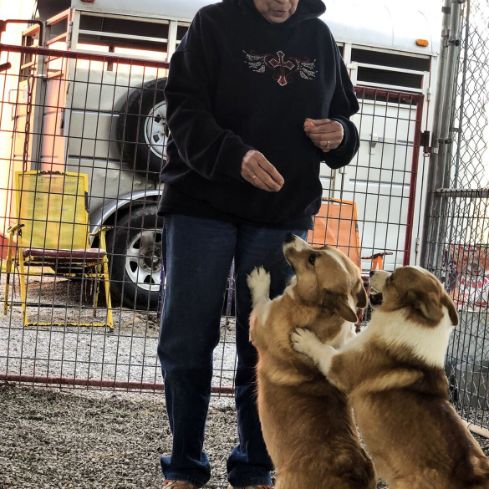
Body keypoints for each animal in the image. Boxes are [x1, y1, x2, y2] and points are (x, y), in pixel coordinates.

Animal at [246, 233, 376, 488]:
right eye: (322, 246)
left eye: (313, 259)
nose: (289, 235)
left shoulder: (260, 322)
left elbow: (261, 299)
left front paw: (260, 278)